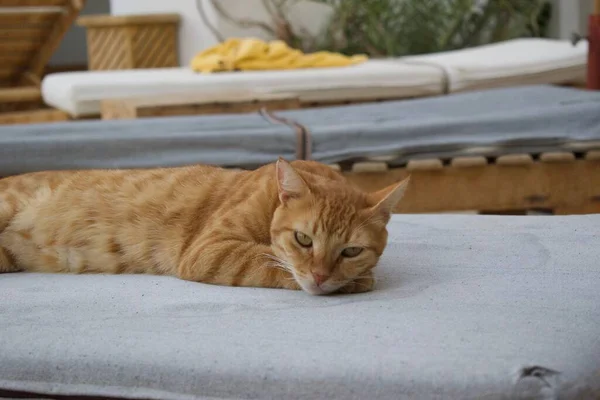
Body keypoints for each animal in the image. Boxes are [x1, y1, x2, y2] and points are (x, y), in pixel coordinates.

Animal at [0, 158, 408, 296]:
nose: (321, 277)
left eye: (351, 250)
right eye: (303, 239)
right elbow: (267, 259)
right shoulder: (209, 249)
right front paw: (356, 282)